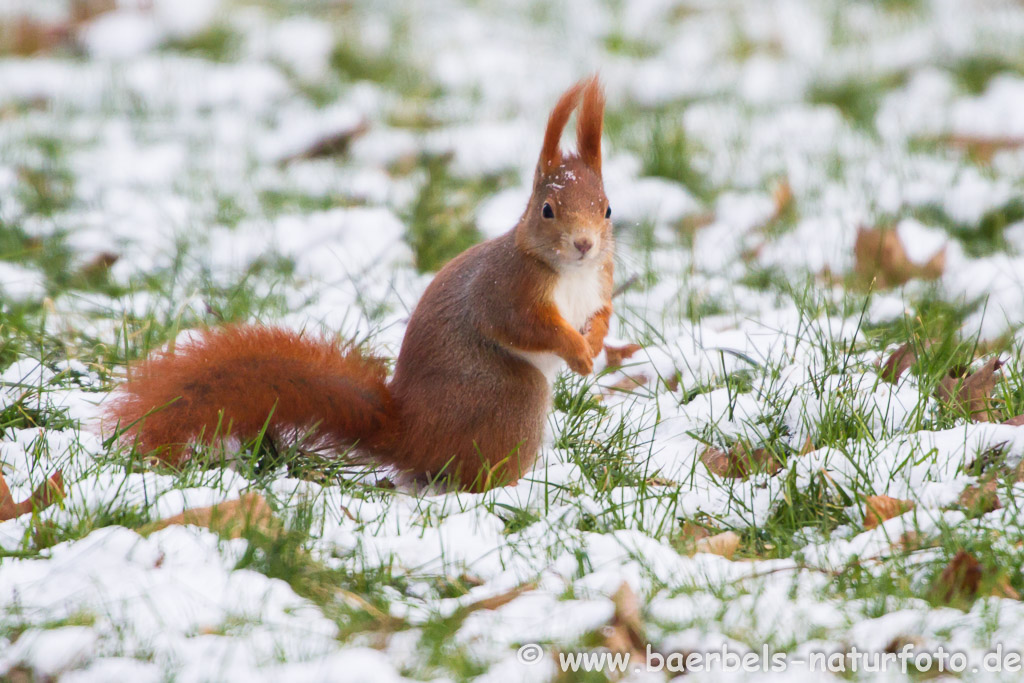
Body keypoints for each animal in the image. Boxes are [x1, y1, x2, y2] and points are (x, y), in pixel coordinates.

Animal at [107, 77, 610, 489]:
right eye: (547, 210)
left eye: (607, 208)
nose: (584, 243)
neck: (571, 272)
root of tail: (412, 436)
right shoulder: (507, 288)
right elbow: (525, 326)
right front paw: (577, 351)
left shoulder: (601, 282)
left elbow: (602, 315)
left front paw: (595, 344)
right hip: (513, 397)